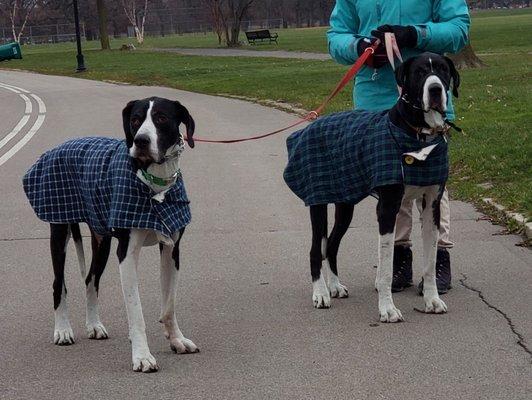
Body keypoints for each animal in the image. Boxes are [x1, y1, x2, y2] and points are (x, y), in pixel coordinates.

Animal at [22, 96, 200, 372]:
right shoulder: (126, 253)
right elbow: (136, 312)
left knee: (90, 279)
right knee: (58, 283)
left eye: (161, 118)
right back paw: (62, 330)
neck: (153, 181)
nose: (141, 141)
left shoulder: (172, 249)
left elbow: (169, 304)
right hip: (59, 231)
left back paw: (94, 325)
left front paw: (177, 340)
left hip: (102, 239)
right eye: (135, 120)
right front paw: (142, 356)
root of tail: (62, 145)